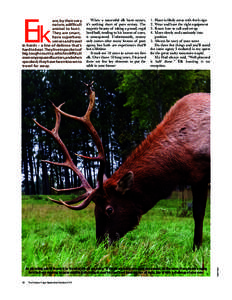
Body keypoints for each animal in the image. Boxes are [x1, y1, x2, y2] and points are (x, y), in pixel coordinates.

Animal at [33, 81, 210, 250]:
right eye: (94, 210)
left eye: (109, 209)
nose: (101, 244)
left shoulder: (201, 176)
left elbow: (198, 212)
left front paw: (196, 248)